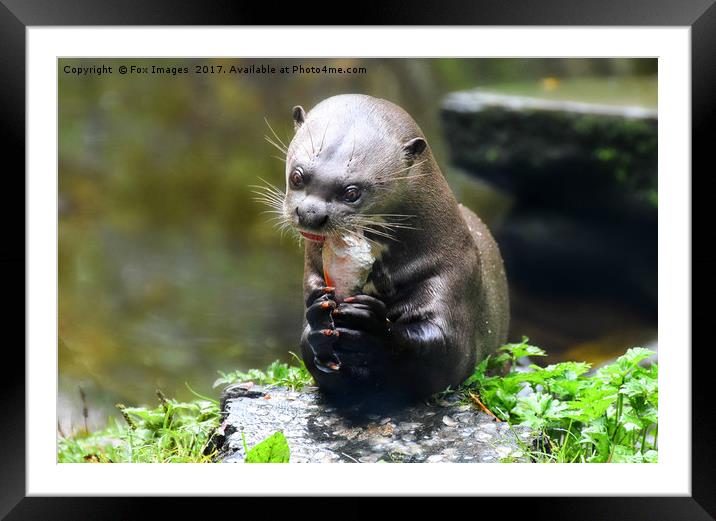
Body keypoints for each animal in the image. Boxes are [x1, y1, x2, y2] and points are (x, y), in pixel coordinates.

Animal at [276, 92, 510, 402]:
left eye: (352, 192)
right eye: (297, 176)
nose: (311, 214)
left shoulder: (454, 275)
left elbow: (443, 346)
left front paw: (371, 327)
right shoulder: (312, 274)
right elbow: (307, 344)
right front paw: (319, 322)